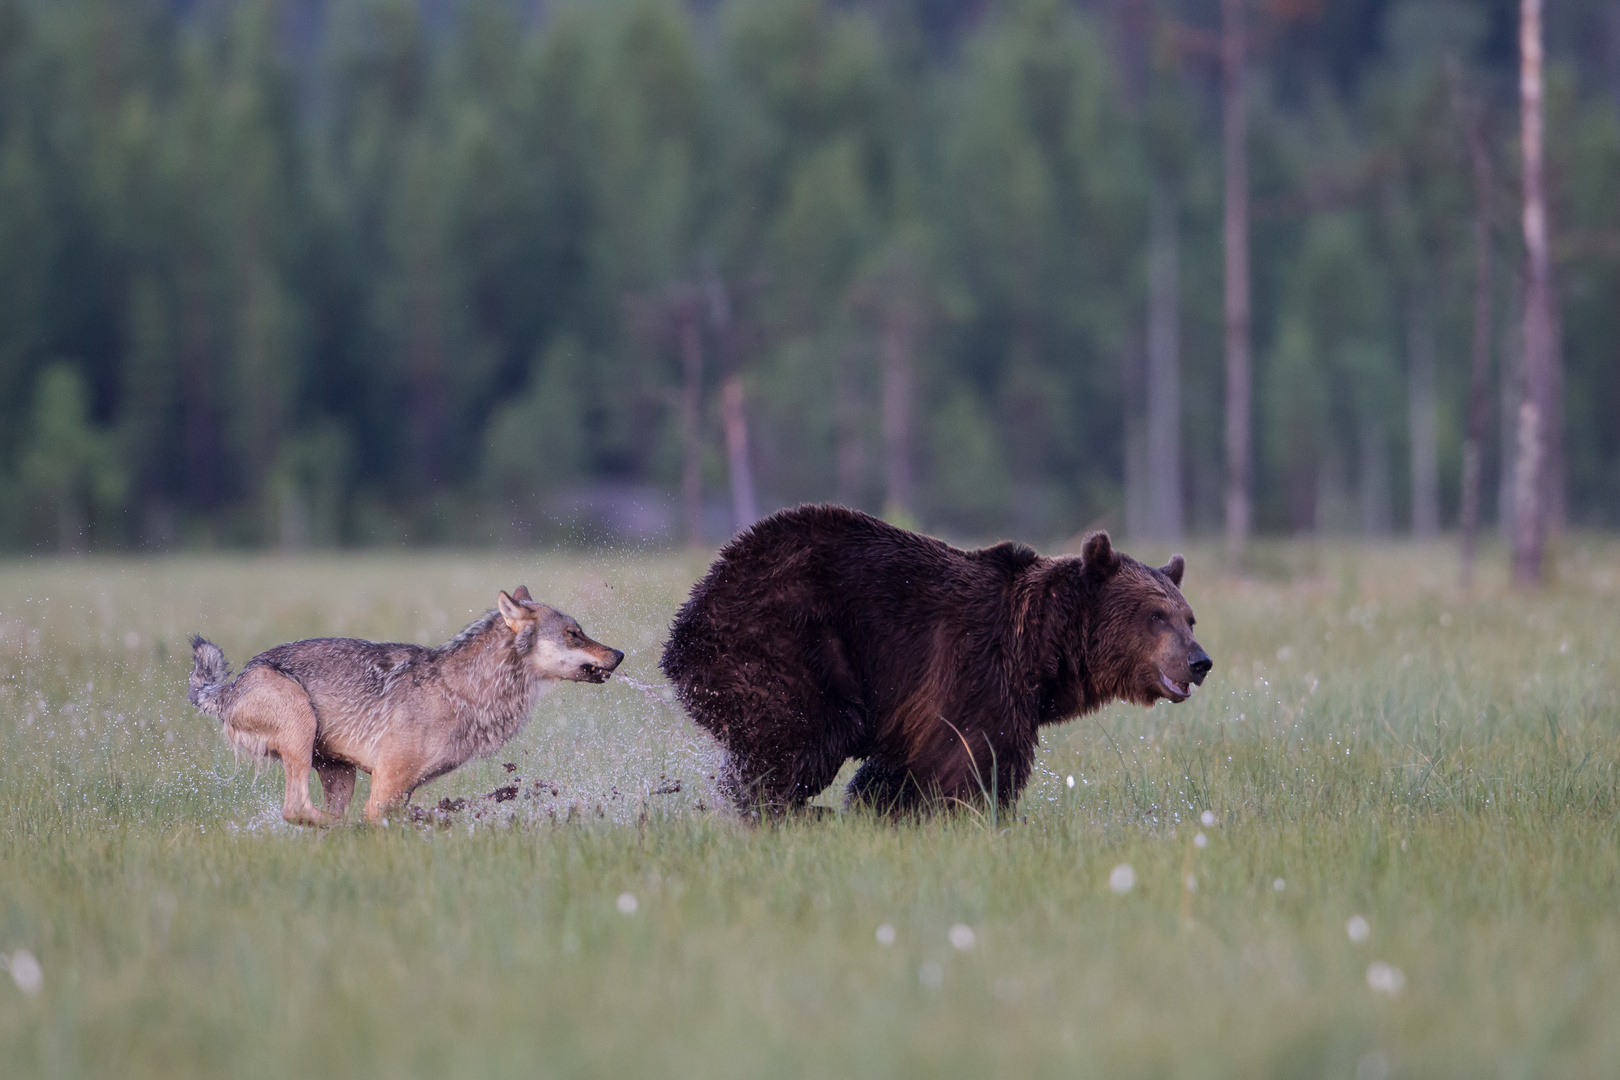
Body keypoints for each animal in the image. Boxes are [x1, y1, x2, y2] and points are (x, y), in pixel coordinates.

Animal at [186, 586, 622, 822]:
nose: (619, 654)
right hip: (301, 727)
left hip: (339, 772)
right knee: (298, 810)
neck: (464, 690)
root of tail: (231, 685)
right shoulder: (386, 786)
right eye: (574, 633)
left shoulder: (403, 790)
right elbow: (378, 822)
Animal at [654, 505, 1205, 809]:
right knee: (801, 735)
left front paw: (880, 807)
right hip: (789, 638)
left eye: (1189, 617)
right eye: (1156, 615)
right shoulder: (976, 673)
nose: (1200, 661)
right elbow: (970, 765)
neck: (1042, 652)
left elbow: (900, 775)